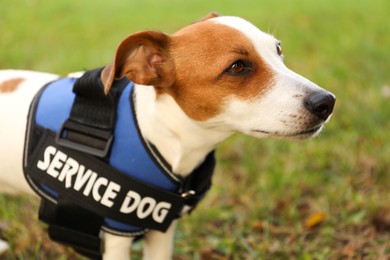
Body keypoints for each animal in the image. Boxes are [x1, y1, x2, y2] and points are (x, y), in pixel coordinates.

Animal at [0, 12, 336, 260]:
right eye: (237, 66)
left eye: (278, 50)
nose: (326, 102)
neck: (161, 133)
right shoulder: (117, 234)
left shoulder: (163, 231)